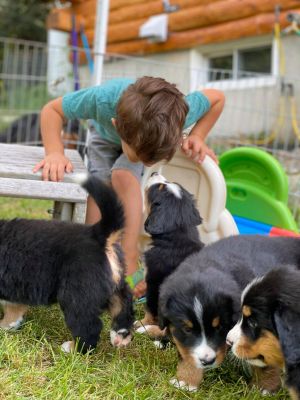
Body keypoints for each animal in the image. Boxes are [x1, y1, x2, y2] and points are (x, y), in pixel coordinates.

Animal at [0, 175, 134, 354]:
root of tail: (97, 234)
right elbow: (13, 310)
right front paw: (6, 326)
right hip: (113, 281)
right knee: (124, 301)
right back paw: (120, 336)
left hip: (76, 294)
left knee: (89, 326)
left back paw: (73, 349)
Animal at [135, 173, 203, 340]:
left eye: (158, 188)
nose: (154, 173)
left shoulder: (153, 282)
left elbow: (149, 308)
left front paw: (142, 324)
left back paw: (146, 331)